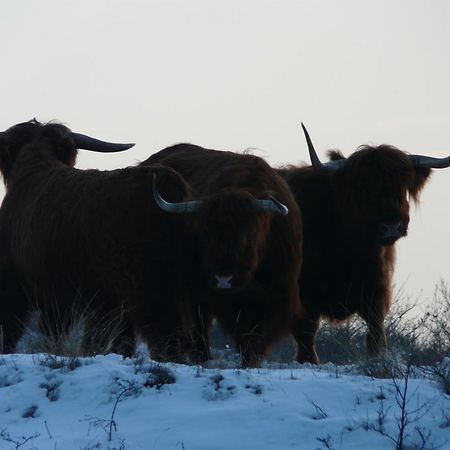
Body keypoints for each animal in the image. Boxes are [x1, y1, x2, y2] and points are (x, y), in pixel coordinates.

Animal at [0, 120, 204, 362]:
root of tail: (169, 184)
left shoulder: (23, 283)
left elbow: (19, 329)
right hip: (185, 287)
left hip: (148, 287)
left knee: (165, 333)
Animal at [142, 146, 302, 368]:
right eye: (204, 234)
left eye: (250, 234)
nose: (223, 279)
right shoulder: (204, 295)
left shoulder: (281, 295)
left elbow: (258, 337)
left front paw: (250, 363)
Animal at [280, 125, 448, 364]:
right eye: (364, 188)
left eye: (403, 185)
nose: (392, 226)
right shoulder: (305, 294)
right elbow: (306, 335)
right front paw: (309, 361)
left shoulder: (376, 290)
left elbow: (376, 333)